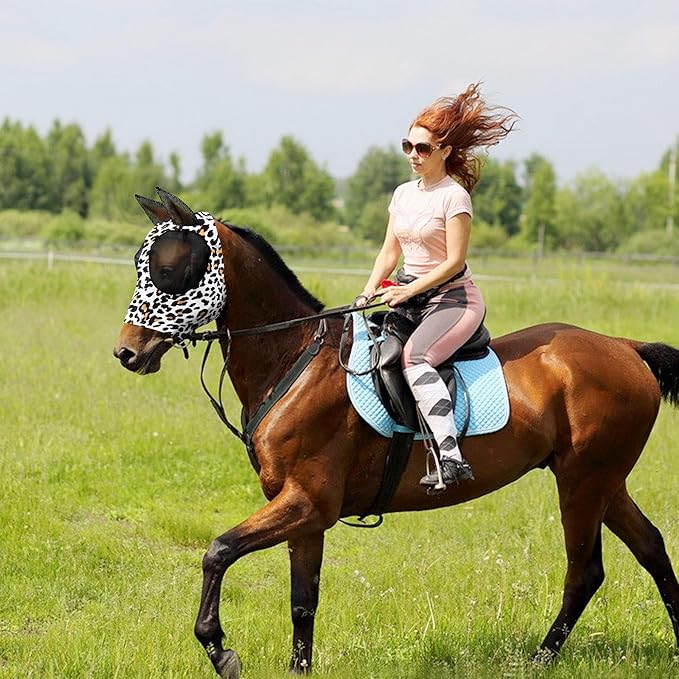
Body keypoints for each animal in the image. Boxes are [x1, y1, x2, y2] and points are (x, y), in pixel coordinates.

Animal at [113, 190, 679, 679]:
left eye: (170, 269)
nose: (126, 352)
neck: (294, 359)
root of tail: (625, 347)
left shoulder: (308, 503)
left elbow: (218, 551)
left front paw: (219, 648)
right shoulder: (303, 512)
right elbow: (303, 601)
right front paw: (296, 668)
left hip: (583, 483)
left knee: (585, 571)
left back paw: (538, 660)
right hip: (604, 482)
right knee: (651, 547)